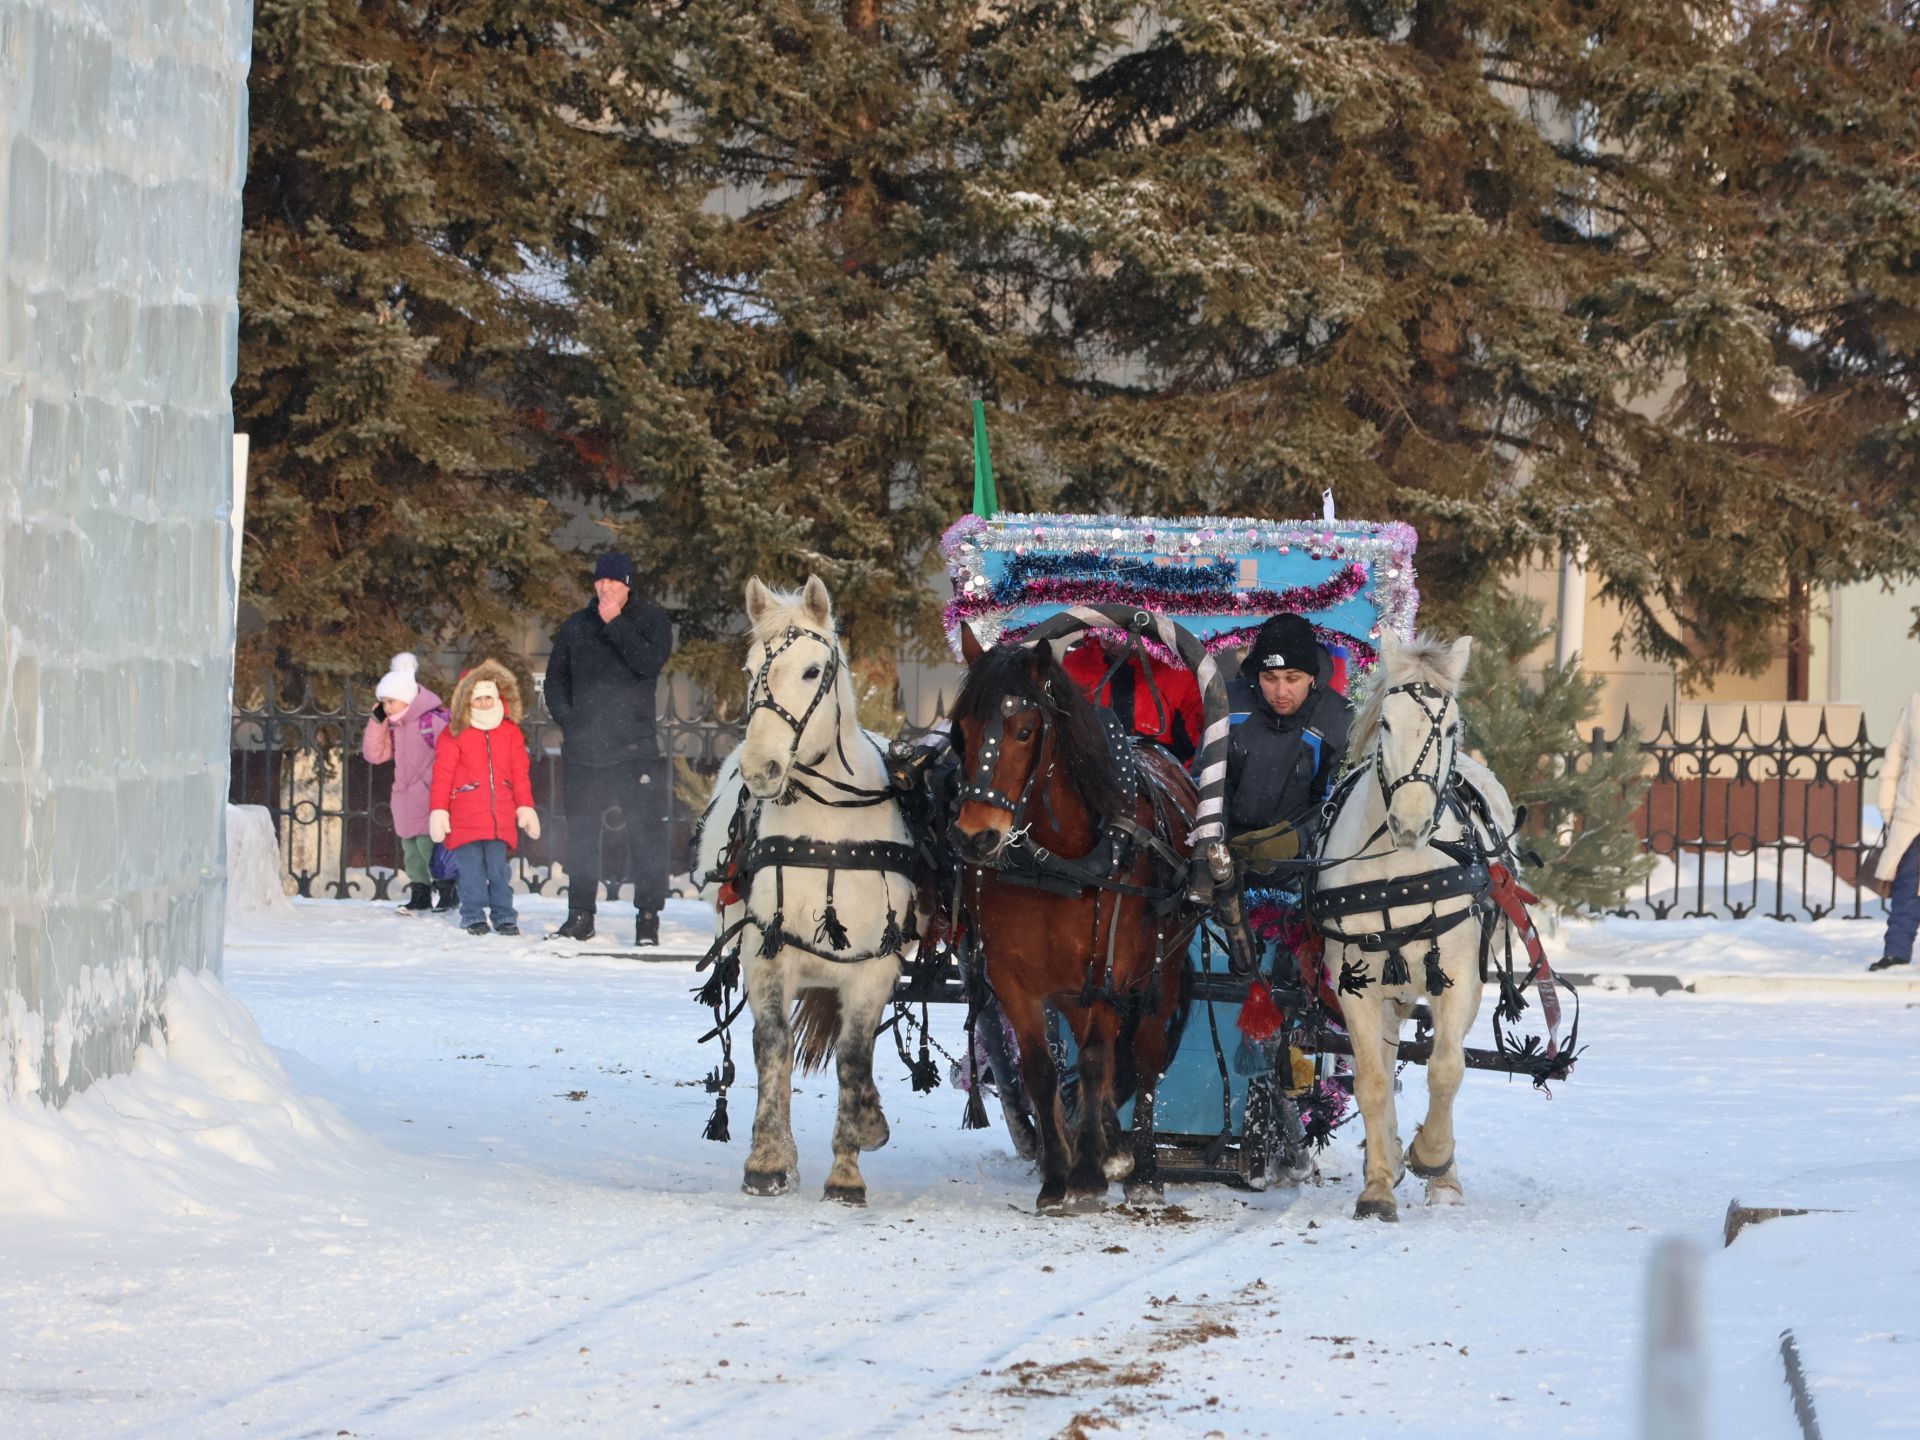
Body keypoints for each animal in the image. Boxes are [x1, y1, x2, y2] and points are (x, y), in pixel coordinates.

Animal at [691, 576, 913, 1205]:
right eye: (749, 670)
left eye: (814, 671)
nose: (760, 768)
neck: (826, 832)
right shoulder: (766, 953)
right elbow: (773, 1048)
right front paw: (769, 1160)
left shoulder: (874, 965)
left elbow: (853, 1058)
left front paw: (850, 1162)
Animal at [948, 625, 1190, 1213]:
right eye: (960, 732)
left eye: (1024, 731)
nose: (975, 837)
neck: (1058, 862)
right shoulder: (1014, 979)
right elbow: (1041, 1070)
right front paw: (1059, 1174)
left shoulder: (1105, 974)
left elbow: (1100, 1059)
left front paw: (1086, 1174)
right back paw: (1106, 1141)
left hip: (1162, 969)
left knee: (1143, 1054)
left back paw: (1142, 1167)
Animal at [1313, 629, 1520, 1228]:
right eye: (1385, 722)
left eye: (1449, 727)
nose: (1409, 824)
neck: (1399, 873)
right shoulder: (1354, 983)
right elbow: (1373, 1079)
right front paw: (1379, 1185)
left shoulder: (1459, 978)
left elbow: (1446, 1068)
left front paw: (1432, 1159)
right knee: (1384, 1060)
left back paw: (1440, 1172)